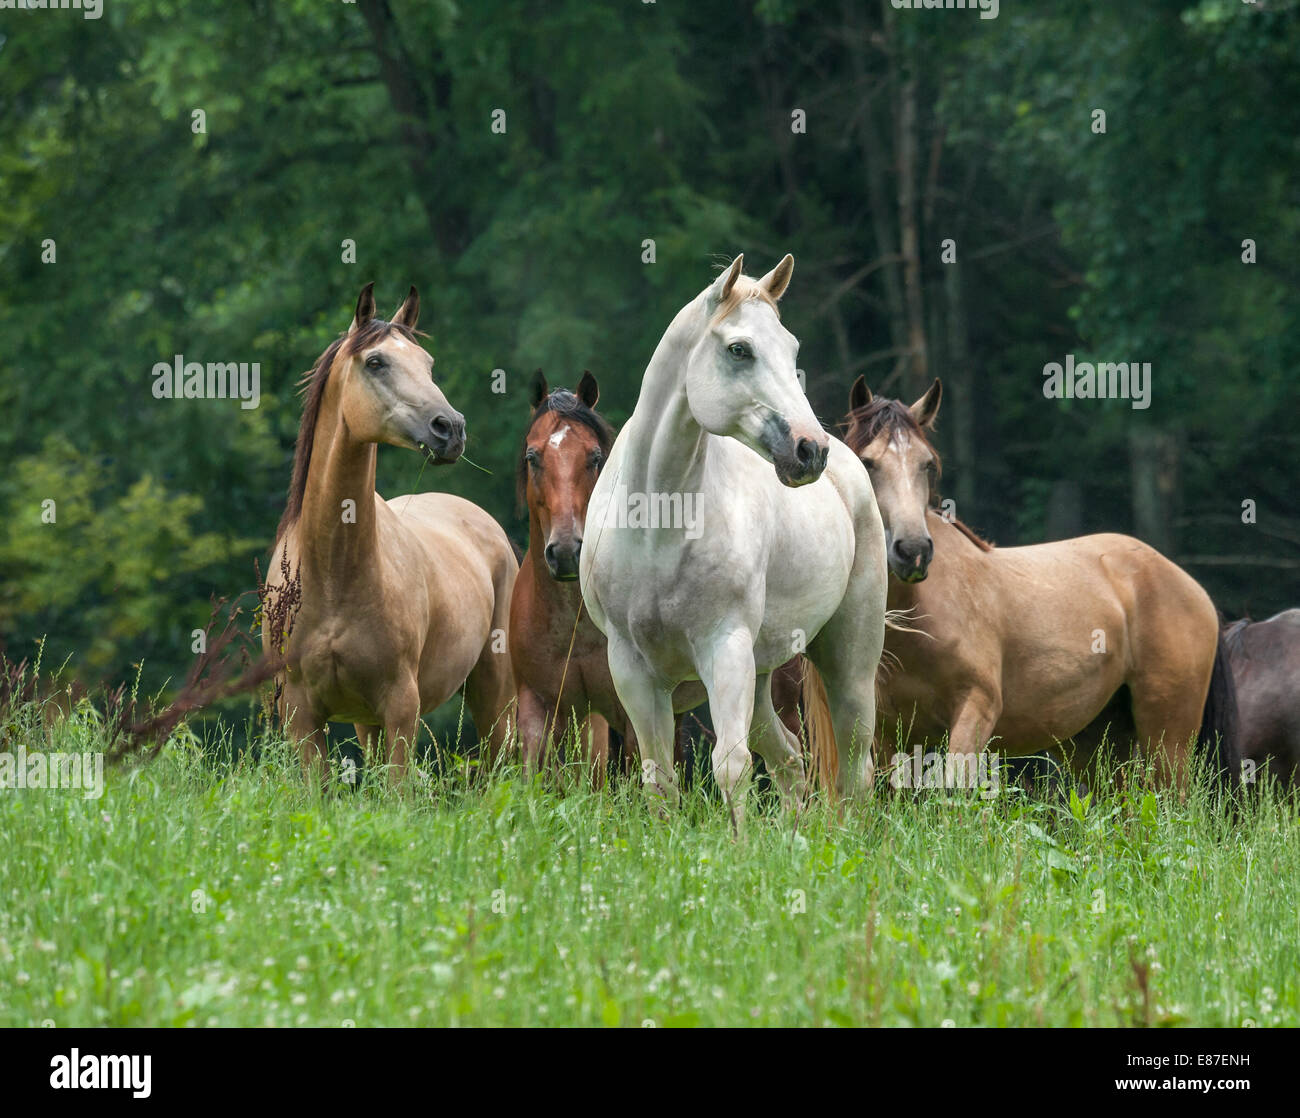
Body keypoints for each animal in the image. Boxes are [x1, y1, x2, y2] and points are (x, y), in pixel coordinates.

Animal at [263, 283, 517, 781]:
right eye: (376, 362)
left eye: (428, 364)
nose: (450, 429)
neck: (333, 572)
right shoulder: (303, 716)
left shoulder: (401, 707)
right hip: (367, 723)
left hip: (494, 691)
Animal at [580, 254, 888, 820]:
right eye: (739, 349)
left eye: (791, 349)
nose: (809, 450)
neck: (658, 527)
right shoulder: (632, 668)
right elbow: (659, 780)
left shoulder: (724, 648)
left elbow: (732, 766)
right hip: (761, 677)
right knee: (790, 760)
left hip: (848, 663)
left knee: (854, 769)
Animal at [841, 376, 1234, 791]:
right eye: (867, 462)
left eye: (927, 464)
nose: (913, 550)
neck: (920, 614)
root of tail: (1193, 588)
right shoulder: (890, 735)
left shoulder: (977, 708)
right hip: (1099, 743)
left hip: (1168, 740)